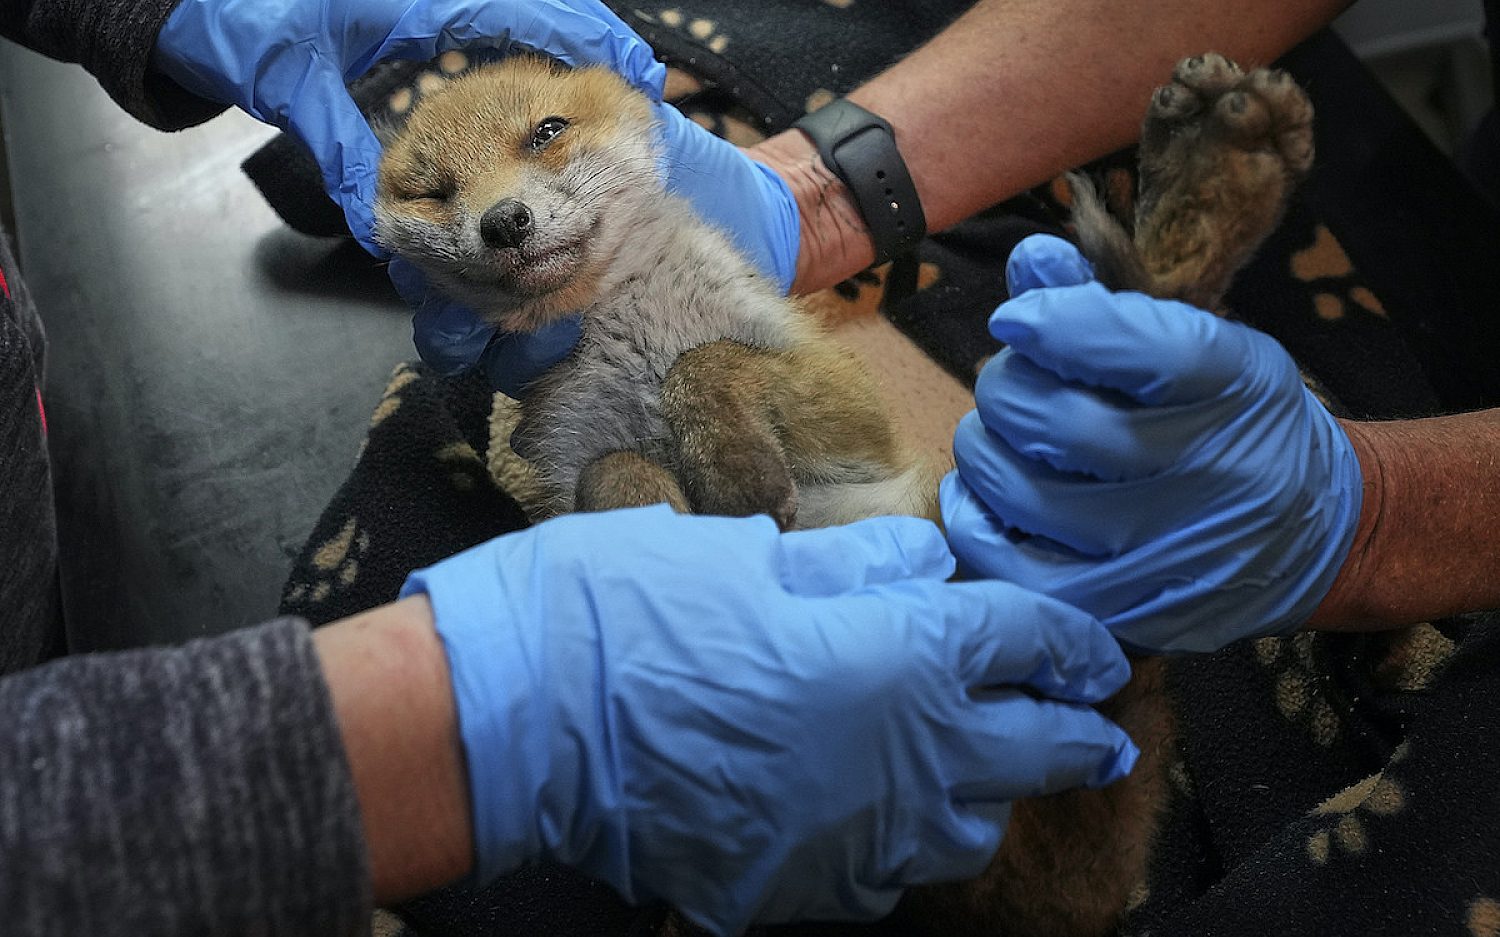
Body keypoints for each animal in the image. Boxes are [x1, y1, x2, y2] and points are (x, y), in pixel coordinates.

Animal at [374, 52, 1313, 937]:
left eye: (546, 131)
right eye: (434, 190)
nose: (503, 221)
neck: (624, 333)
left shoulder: (844, 404)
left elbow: (705, 364)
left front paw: (732, 474)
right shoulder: (567, 474)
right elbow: (614, 476)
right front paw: (677, 543)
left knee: (1165, 314)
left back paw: (1225, 157)